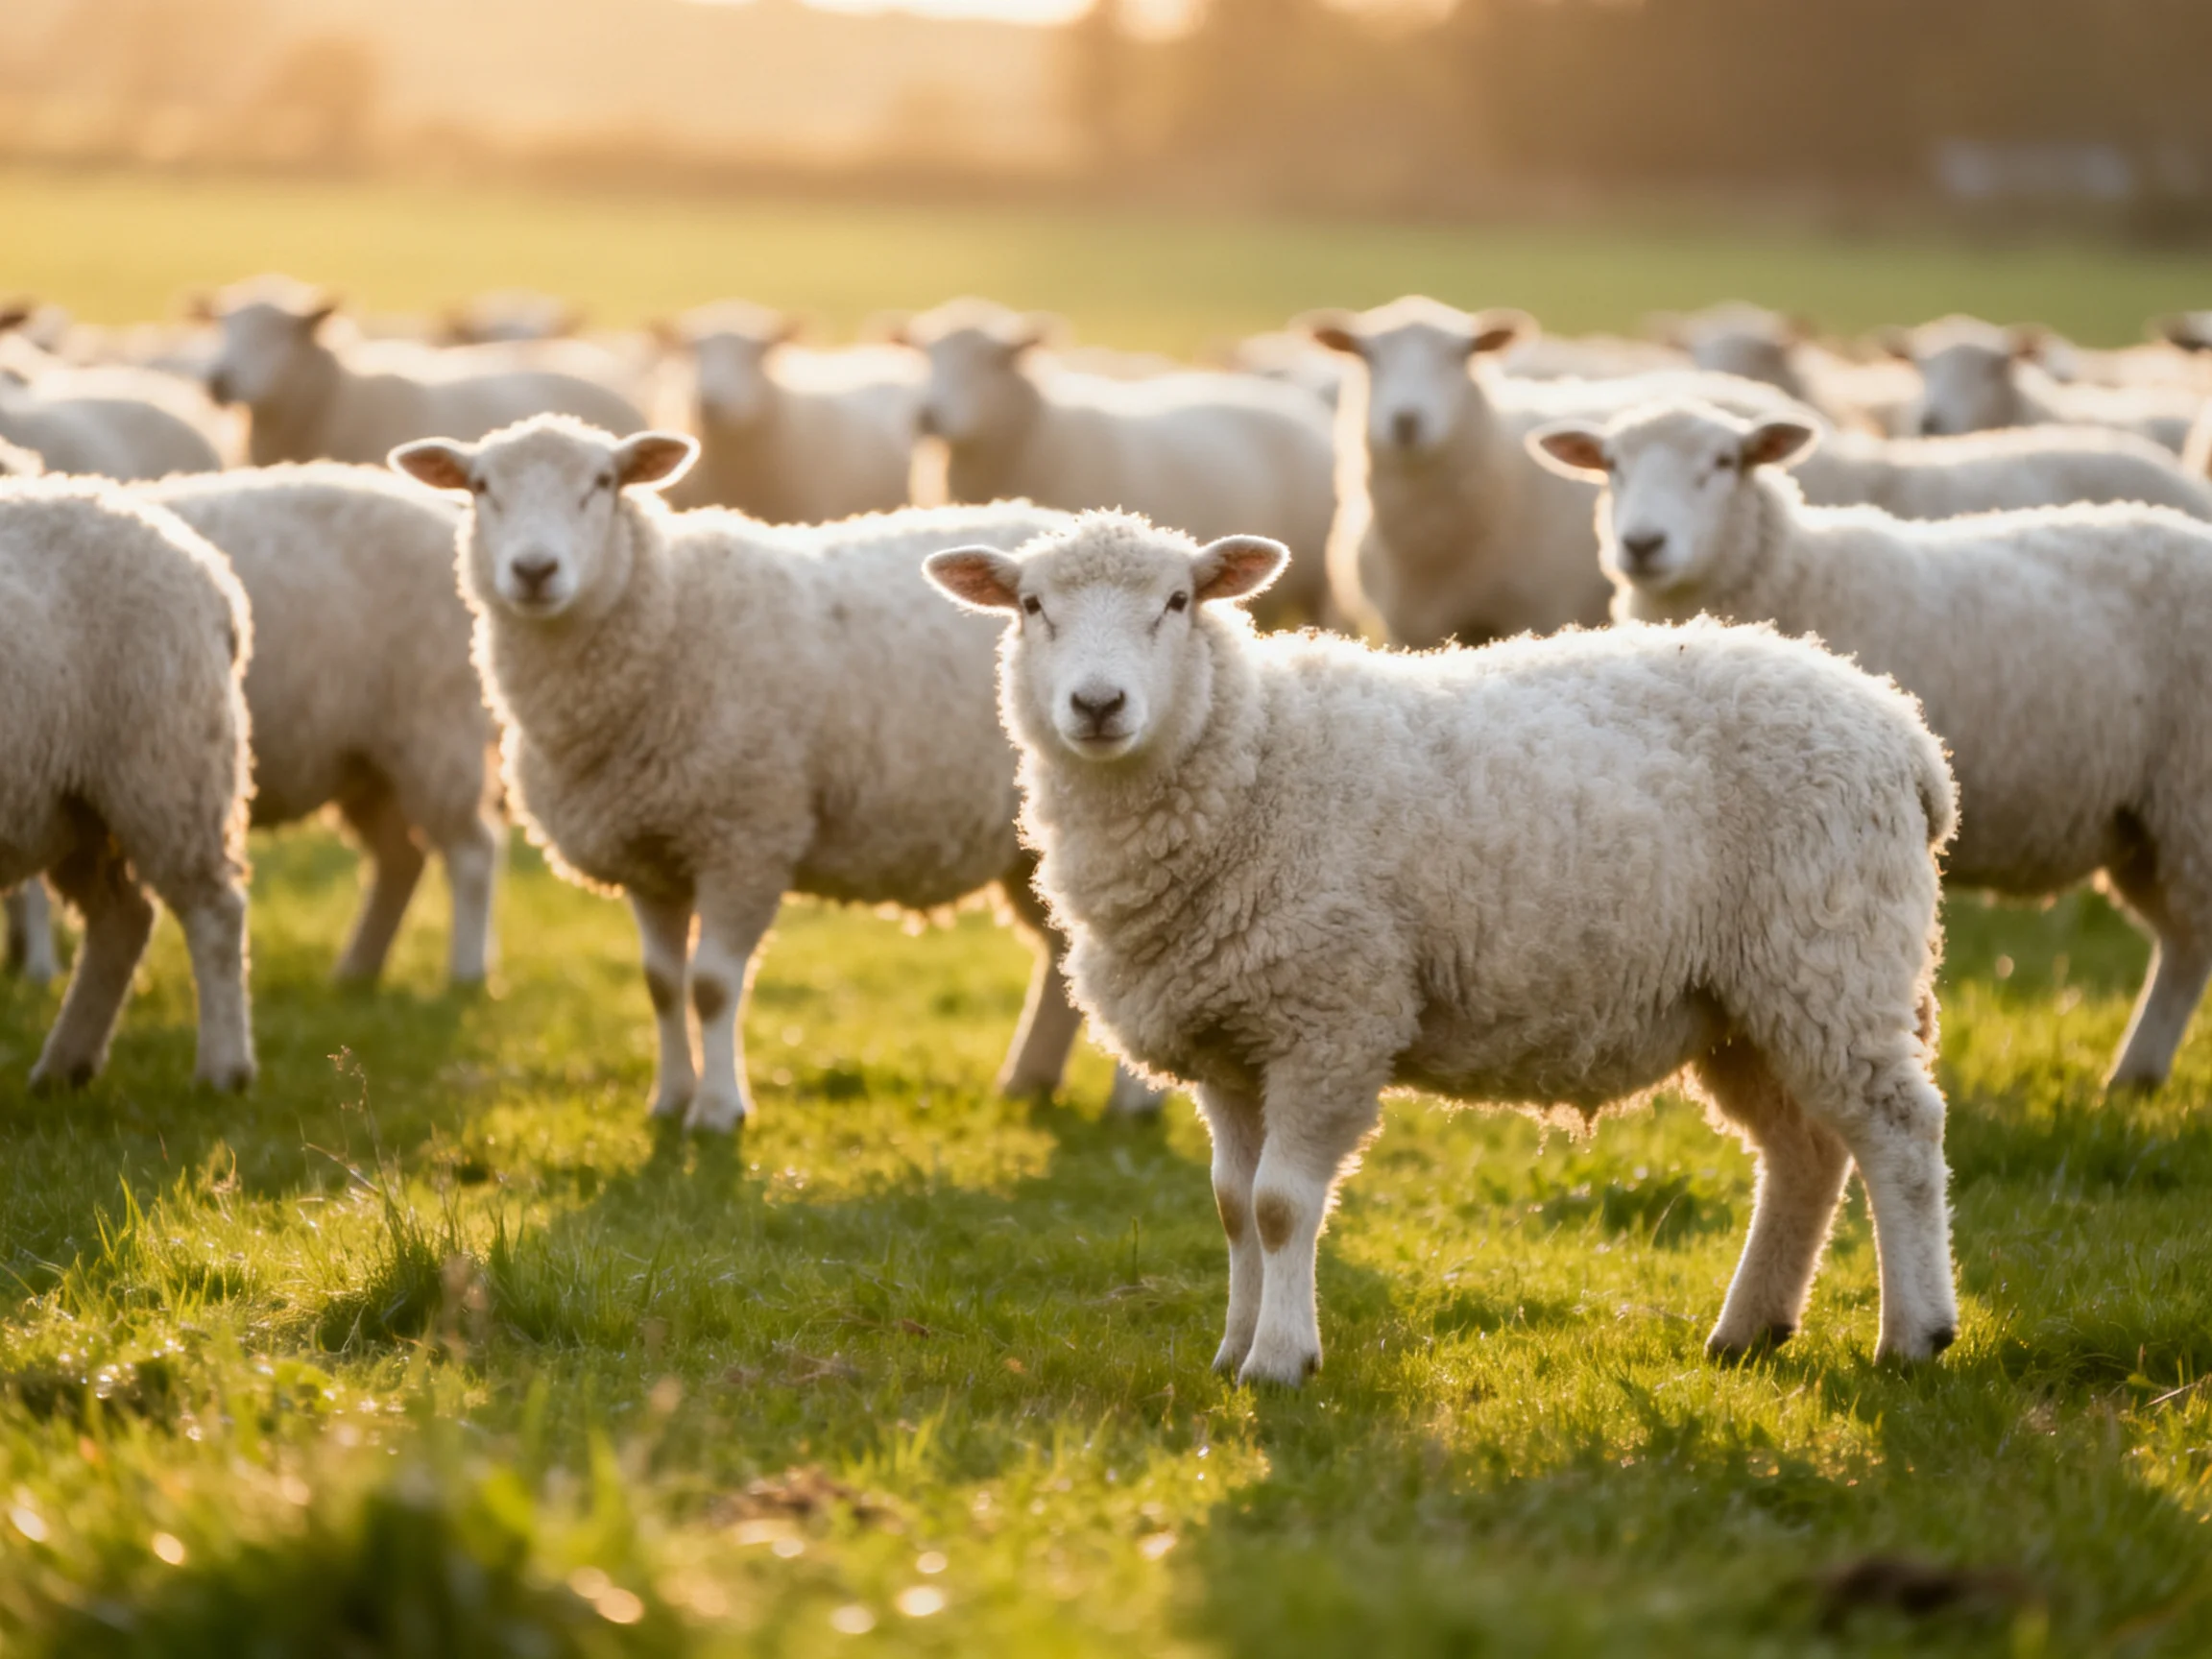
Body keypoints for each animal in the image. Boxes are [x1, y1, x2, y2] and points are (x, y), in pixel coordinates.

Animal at [0, 477, 254, 1089]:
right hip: (68, 804)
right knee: (123, 919)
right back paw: (66, 1067)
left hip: (166, 770)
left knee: (214, 911)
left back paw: (223, 1071)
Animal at [136, 466, 500, 986]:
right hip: (367, 761)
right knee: (401, 860)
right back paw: (357, 970)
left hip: (435, 729)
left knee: (472, 852)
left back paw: (465, 974)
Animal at [389, 414, 1165, 1133]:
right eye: (480, 487)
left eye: (603, 483)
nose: (534, 571)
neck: (667, 616)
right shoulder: (649, 852)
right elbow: (662, 984)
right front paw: (668, 1102)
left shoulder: (746, 836)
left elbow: (709, 985)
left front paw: (717, 1112)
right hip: (1027, 851)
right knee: (1061, 957)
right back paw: (1029, 1081)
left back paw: (1131, 1105)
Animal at [922, 511, 1960, 1383]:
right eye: (1031, 607)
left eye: (1178, 602)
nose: (1098, 705)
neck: (1252, 758)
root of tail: (1902, 729)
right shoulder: (1231, 1040)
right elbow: (1231, 1205)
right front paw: (1232, 1347)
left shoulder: (1330, 1020)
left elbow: (1280, 1206)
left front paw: (1281, 1362)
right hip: (1745, 999)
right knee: (1805, 1153)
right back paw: (1749, 1330)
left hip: (1831, 950)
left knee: (1900, 1133)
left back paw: (1915, 1335)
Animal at [1530, 399, 2212, 1092]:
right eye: (1611, 465)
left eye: (1723, 462)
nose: (1642, 544)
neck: (1794, 570)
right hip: (2147, 826)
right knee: (2183, 945)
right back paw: (2136, 1076)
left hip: (2192, 798)